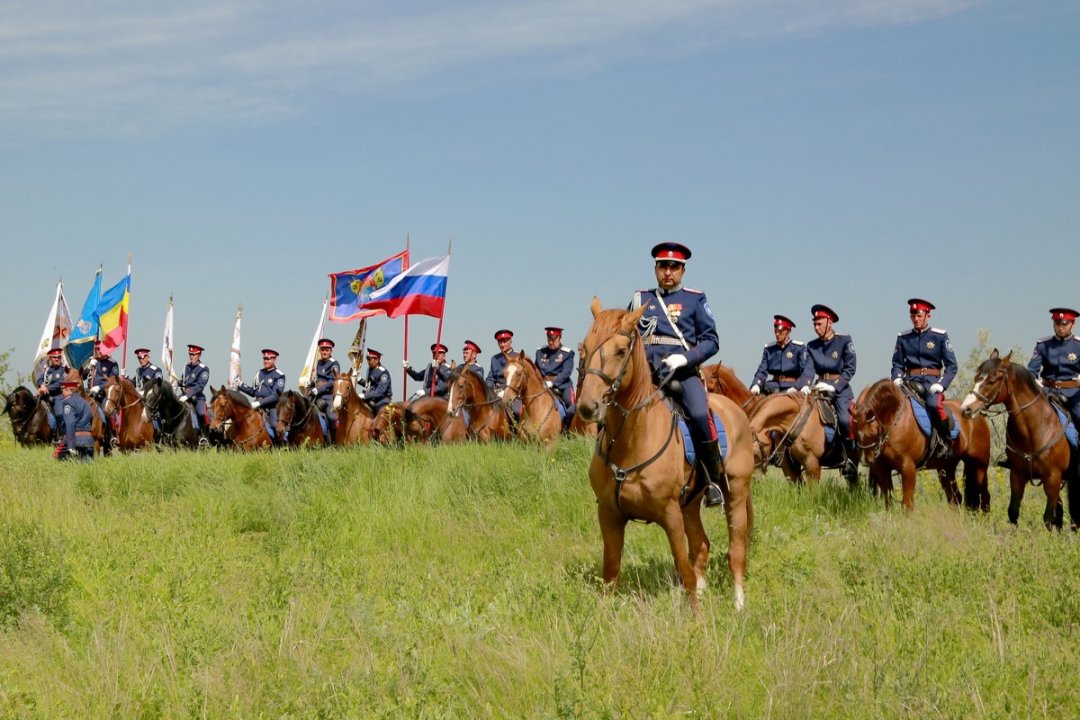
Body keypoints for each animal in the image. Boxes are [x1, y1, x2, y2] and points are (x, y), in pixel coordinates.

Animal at [578, 300, 756, 613]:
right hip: (691, 504)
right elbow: (610, 571)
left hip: (735, 493)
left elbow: (683, 569)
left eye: (621, 350)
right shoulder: (609, 514)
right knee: (701, 545)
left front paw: (697, 618)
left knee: (736, 550)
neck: (630, 441)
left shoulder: (670, 514)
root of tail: (736, 411)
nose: (588, 406)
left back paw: (738, 604)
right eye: (584, 347)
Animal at [851, 377, 993, 511]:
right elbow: (889, 503)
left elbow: (907, 505)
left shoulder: (908, 467)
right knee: (955, 498)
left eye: (873, 432)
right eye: (855, 432)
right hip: (946, 468)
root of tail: (976, 414)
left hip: (979, 464)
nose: (865, 460)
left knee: (984, 495)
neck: (895, 418)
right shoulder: (881, 469)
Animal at [963, 349, 1071, 528]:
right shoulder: (1017, 475)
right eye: (976, 378)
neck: (1034, 430)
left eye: (992, 380)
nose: (966, 408)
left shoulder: (1053, 478)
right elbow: (1013, 512)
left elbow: (1048, 518)